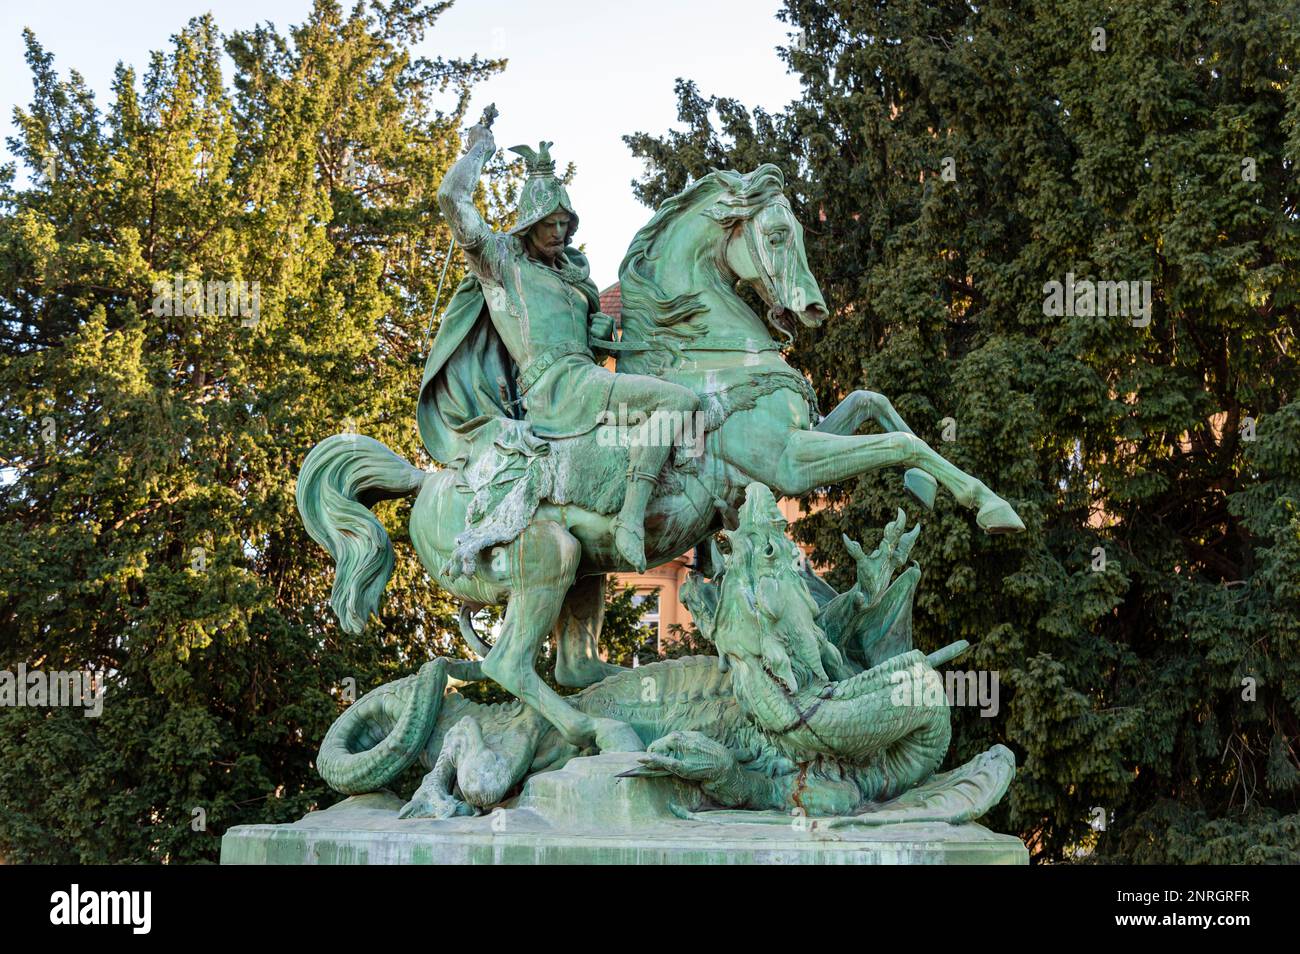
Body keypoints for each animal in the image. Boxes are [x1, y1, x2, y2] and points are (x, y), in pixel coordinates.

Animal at [299, 167, 1019, 759]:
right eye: (778, 235)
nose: (813, 309)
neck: (708, 355)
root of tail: (428, 479)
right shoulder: (787, 463)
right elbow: (901, 441)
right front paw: (992, 507)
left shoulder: (798, 444)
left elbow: (877, 404)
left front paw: (931, 489)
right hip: (546, 558)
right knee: (510, 666)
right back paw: (605, 729)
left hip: (582, 574)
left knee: (571, 667)